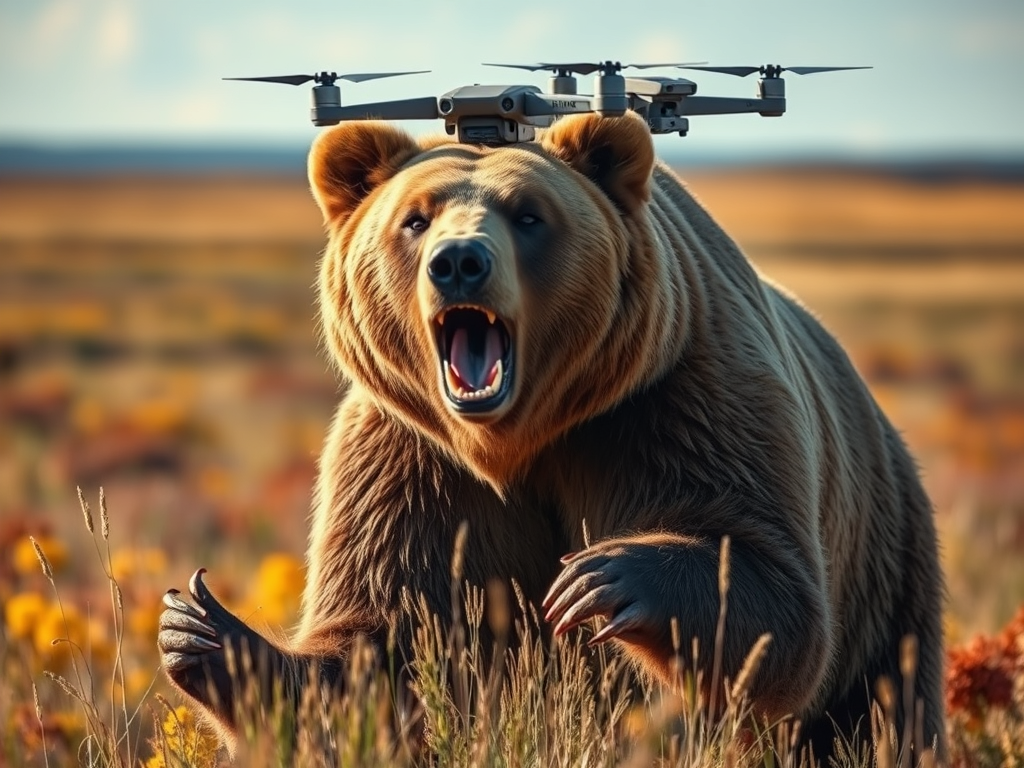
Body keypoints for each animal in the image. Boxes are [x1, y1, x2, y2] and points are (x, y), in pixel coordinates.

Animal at [158, 111, 946, 760]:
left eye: (528, 214)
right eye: (415, 219)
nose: (460, 262)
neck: (518, 438)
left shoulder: (673, 404)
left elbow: (769, 592)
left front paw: (602, 578)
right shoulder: (408, 459)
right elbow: (382, 640)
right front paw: (202, 630)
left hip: (887, 561)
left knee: (877, 703)